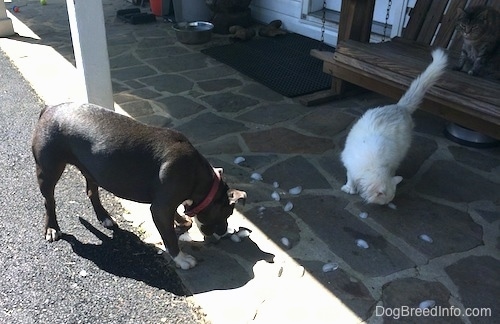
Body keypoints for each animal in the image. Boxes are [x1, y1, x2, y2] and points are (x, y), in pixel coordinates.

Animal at [31, 102, 246, 270]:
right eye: (227, 214)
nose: (223, 232)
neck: (200, 179)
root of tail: (49, 109)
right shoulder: (160, 208)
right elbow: (170, 238)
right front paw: (182, 259)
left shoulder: (166, 203)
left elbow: (177, 216)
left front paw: (182, 222)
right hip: (48, 171)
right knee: (49, 201)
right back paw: (52, 228)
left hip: (91, 169)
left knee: (92, 191)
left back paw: (104, 217)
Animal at [342, 48, 448, 204]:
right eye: (384, 202)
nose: (387, 204)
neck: (373, 166)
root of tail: (400, 106)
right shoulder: (350, 165)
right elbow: (350, 178)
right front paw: (349, 189)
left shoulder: (390, 163)